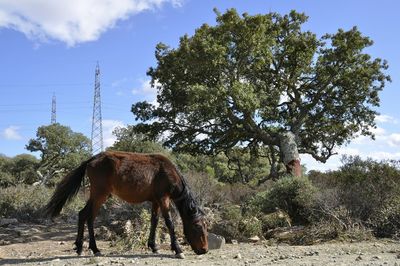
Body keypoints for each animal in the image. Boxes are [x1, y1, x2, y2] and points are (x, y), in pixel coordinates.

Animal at [44, 152, 209, 258]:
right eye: (197, 226)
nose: (205, 250)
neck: (167, 171)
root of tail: (92, 160)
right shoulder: (164, 199)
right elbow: (169, 223)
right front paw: (178, 249)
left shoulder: (156, 201)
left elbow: (154, 221)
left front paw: (153, 246)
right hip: (99, 194)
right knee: (88, 216)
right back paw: (93, 248)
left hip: (98, 196)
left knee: (85, 215)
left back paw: (83, 247)